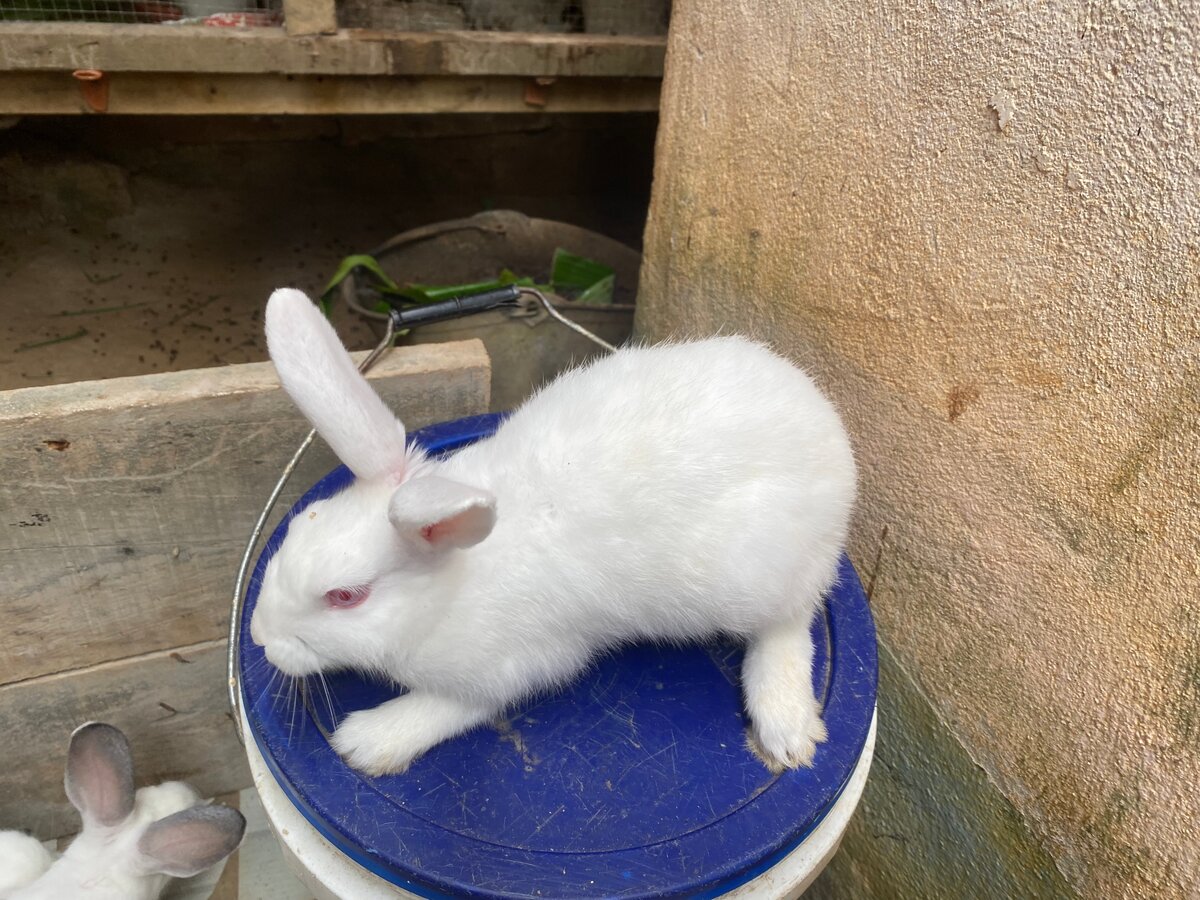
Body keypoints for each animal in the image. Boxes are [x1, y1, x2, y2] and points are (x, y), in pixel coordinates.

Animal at [252, 288, 857, 777]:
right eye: (300, 526)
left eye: (345, 596)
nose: (259, 637)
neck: (449, 587)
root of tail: (831, 433)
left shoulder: (514, 666)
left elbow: (453, 707)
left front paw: (365, 742)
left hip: (756, 576)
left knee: (791, 621)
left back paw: (786, 728)